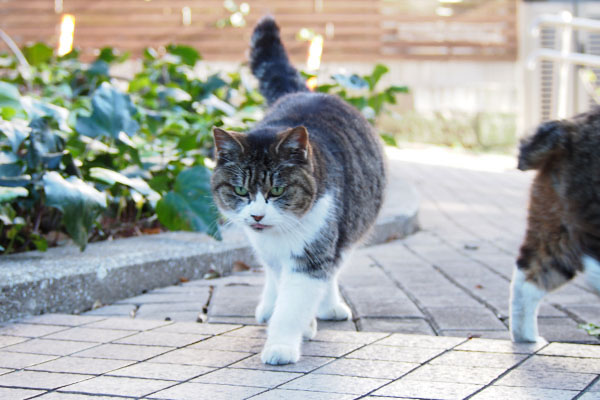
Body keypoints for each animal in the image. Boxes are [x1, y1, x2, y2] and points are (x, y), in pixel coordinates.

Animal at [211, 17, 384, 364]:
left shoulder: (315, 251)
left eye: (277, 189)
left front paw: (282, 346)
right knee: (270, 270)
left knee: (334, 267)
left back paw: (329, 306)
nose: (257, 215)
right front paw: (295, 324)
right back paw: (269, 305)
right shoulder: (274, 250)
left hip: (352, 225)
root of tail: (304, 92)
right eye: (240, 189)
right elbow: (282, 288)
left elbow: (295, 303)